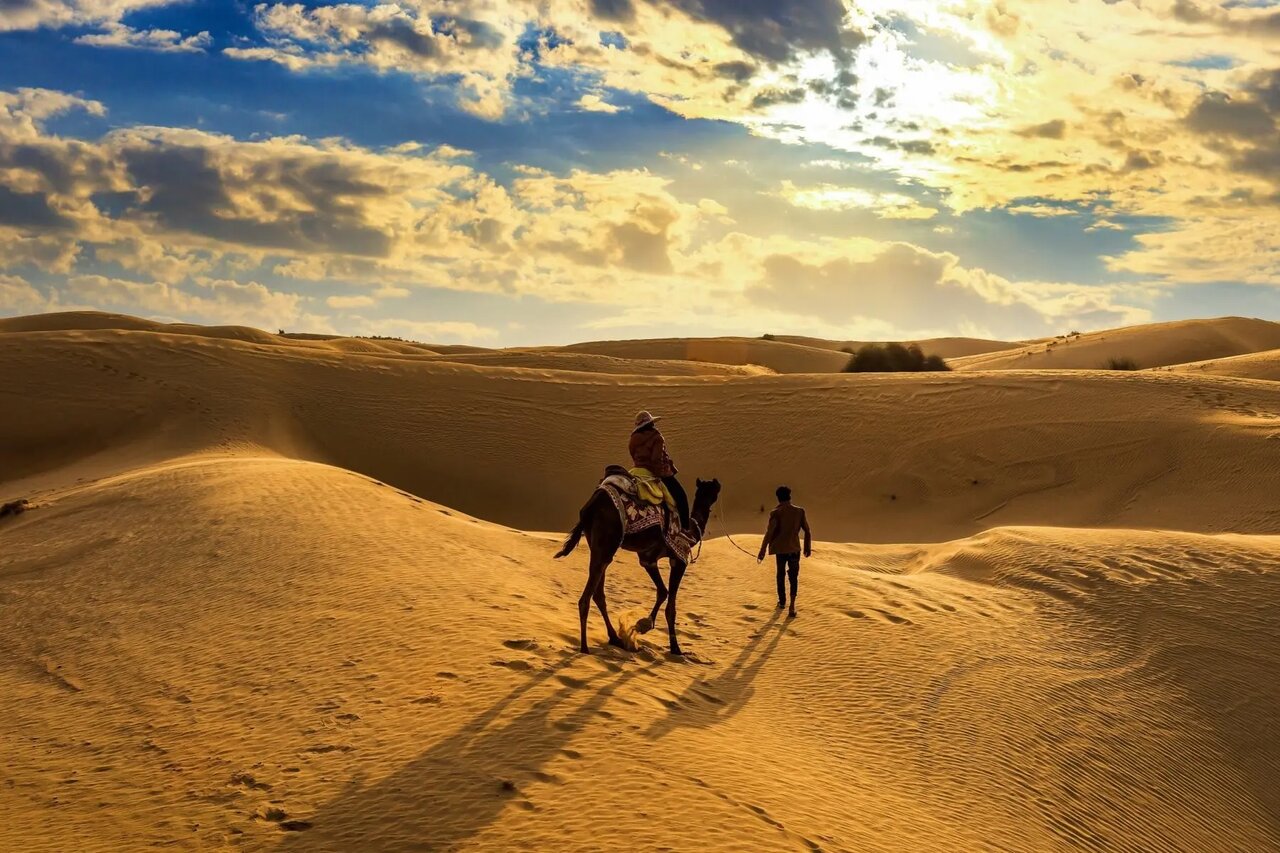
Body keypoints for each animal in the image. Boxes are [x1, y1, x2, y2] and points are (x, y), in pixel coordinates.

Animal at [555, 479, 727, 650]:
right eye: (714, 489)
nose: (718, 485)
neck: (691, 531)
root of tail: (590, 507)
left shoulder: (648, 559)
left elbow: (662, 591)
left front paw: (643, 625)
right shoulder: (679, 559)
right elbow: (670, 606)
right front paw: (675, 647)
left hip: (598, 547)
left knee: (598, 594)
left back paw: (615, 638)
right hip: (606, 543)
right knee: (586, 598)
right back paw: (585, 647)